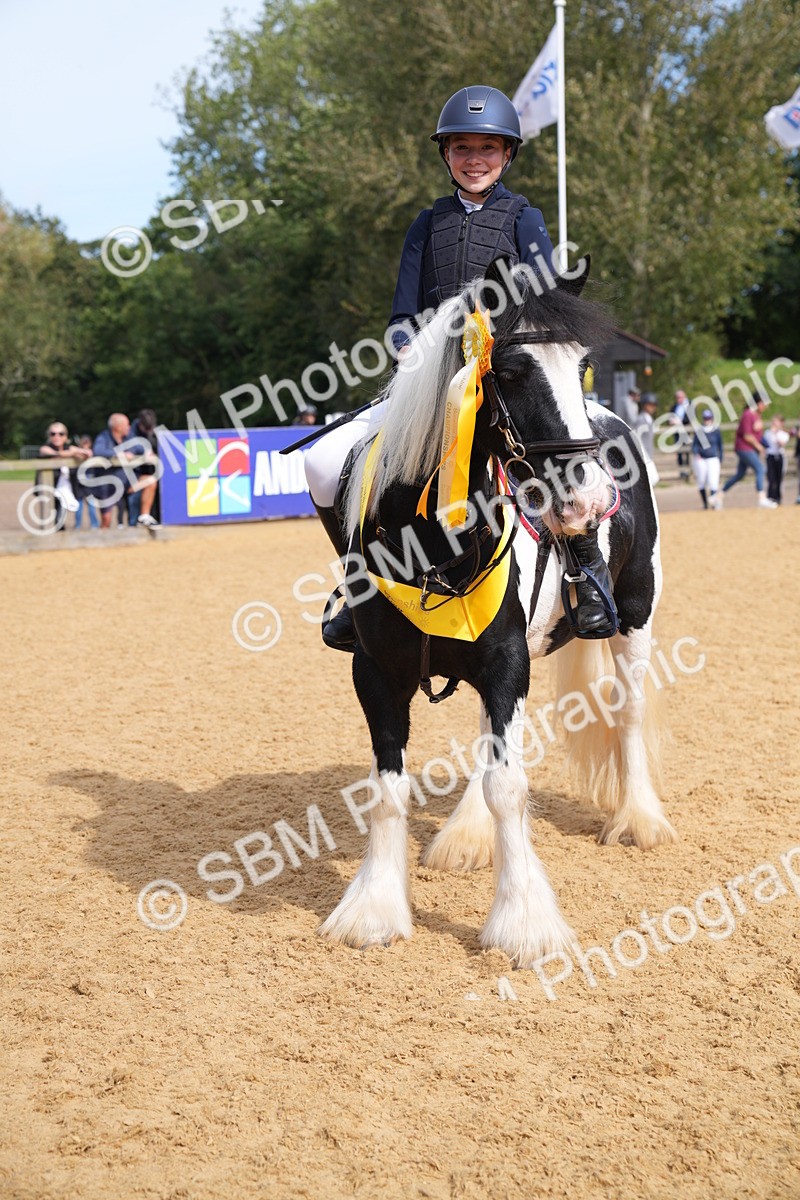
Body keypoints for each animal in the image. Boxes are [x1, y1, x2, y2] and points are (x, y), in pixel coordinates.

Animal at [319, 257, 677, 969]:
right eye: (508, 371)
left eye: (584, 363)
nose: (588, 497)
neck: (435, 544)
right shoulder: (377, 674)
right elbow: (388, 789)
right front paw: (374, 909)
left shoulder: (508, 660)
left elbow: (509, 787)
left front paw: (524, 922)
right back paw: (467, 836)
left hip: (635, 617)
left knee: (627, 714)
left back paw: (637, 820)